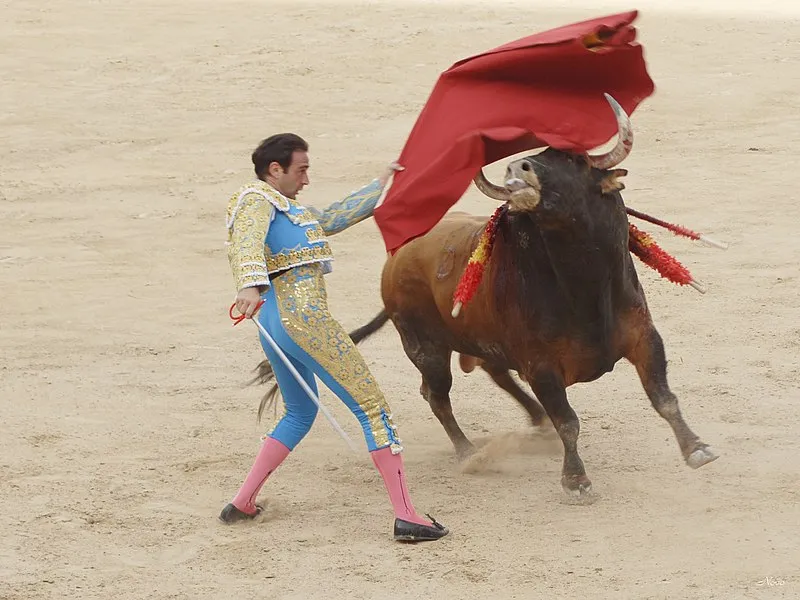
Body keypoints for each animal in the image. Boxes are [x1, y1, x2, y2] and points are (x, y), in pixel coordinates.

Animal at [252, 95, 720, 496]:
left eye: (574, 159)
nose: (518, 169)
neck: (582, 286)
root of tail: (397, 257)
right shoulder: (541, 364)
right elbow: (569, 420)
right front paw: (576, 481)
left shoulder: (644, 337)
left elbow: (664, 397)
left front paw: (697, 448)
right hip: (425, 346)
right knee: (437, 395)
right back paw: (468, 451)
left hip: (483, 340)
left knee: (496, 375)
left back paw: (533, 424)